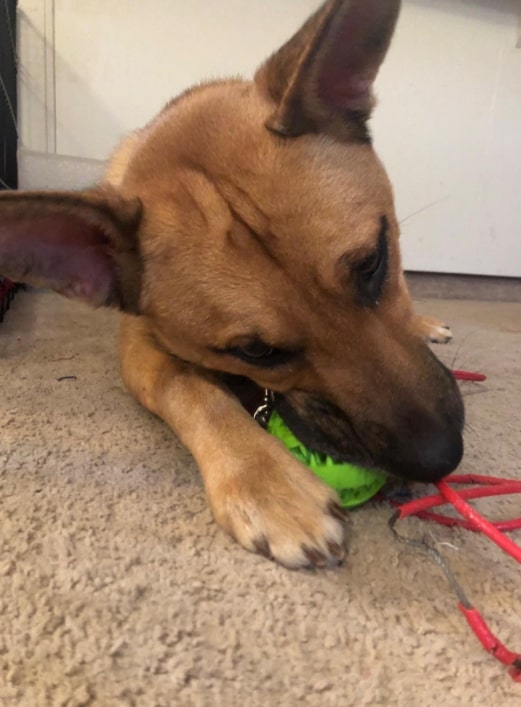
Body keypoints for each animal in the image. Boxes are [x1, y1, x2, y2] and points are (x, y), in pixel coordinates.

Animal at [0, 0, 464, 569]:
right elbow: (188, 386)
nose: (441, 457)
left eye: (373, 262)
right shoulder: (141, 347)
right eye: (255, 352)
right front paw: (266, 481)